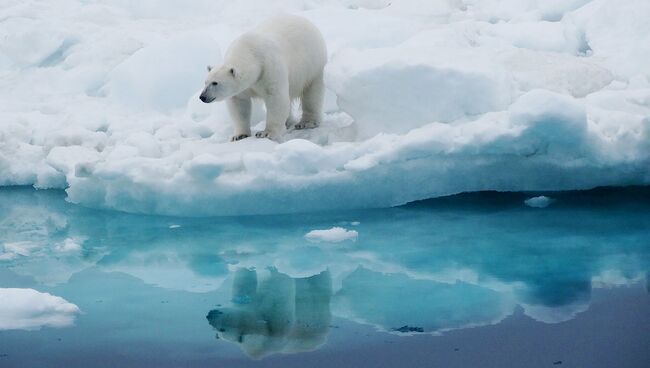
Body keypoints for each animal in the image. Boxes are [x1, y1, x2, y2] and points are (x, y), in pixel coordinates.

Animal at [199, 15, 330, 141]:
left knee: (312, 94)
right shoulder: (244, 87)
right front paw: (239, 135)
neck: (250, 52)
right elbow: (239, 105)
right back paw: (288, 122)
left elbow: (276, 98)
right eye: (205, 82)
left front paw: (266, 133)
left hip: (313, 65)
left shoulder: (269, 68)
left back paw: (307, 122)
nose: (202, 97)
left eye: (215, 83)